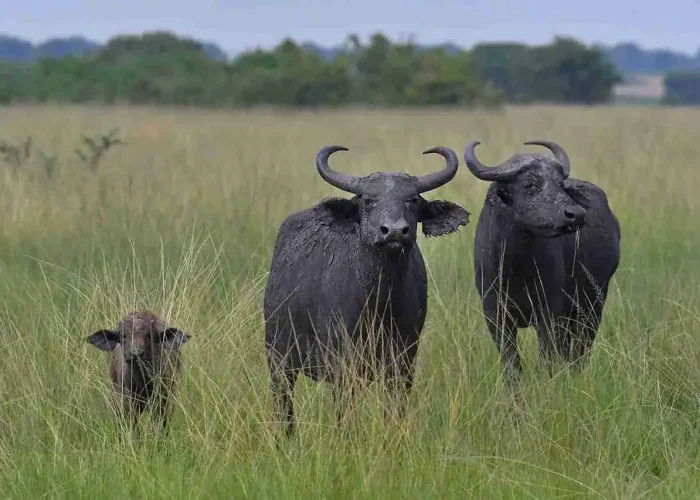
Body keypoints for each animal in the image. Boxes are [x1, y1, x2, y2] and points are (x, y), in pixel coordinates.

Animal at [264, 145, 470, 438]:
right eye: (369, 200)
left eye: (412, 200)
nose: (393, 231)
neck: (380, 302)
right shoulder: (343, 367)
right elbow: (345, 417)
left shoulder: (403, 362)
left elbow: (395, 413)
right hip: (278, 359)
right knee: (284, 407)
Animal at [464, 140, 620, 383]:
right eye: (529, 184)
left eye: (560, 184)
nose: (576, 214)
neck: (515, 267)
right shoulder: (496, 317)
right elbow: (512, 365)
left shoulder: (549, 314)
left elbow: (546, 360)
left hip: (592, 306)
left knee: (580, 351)